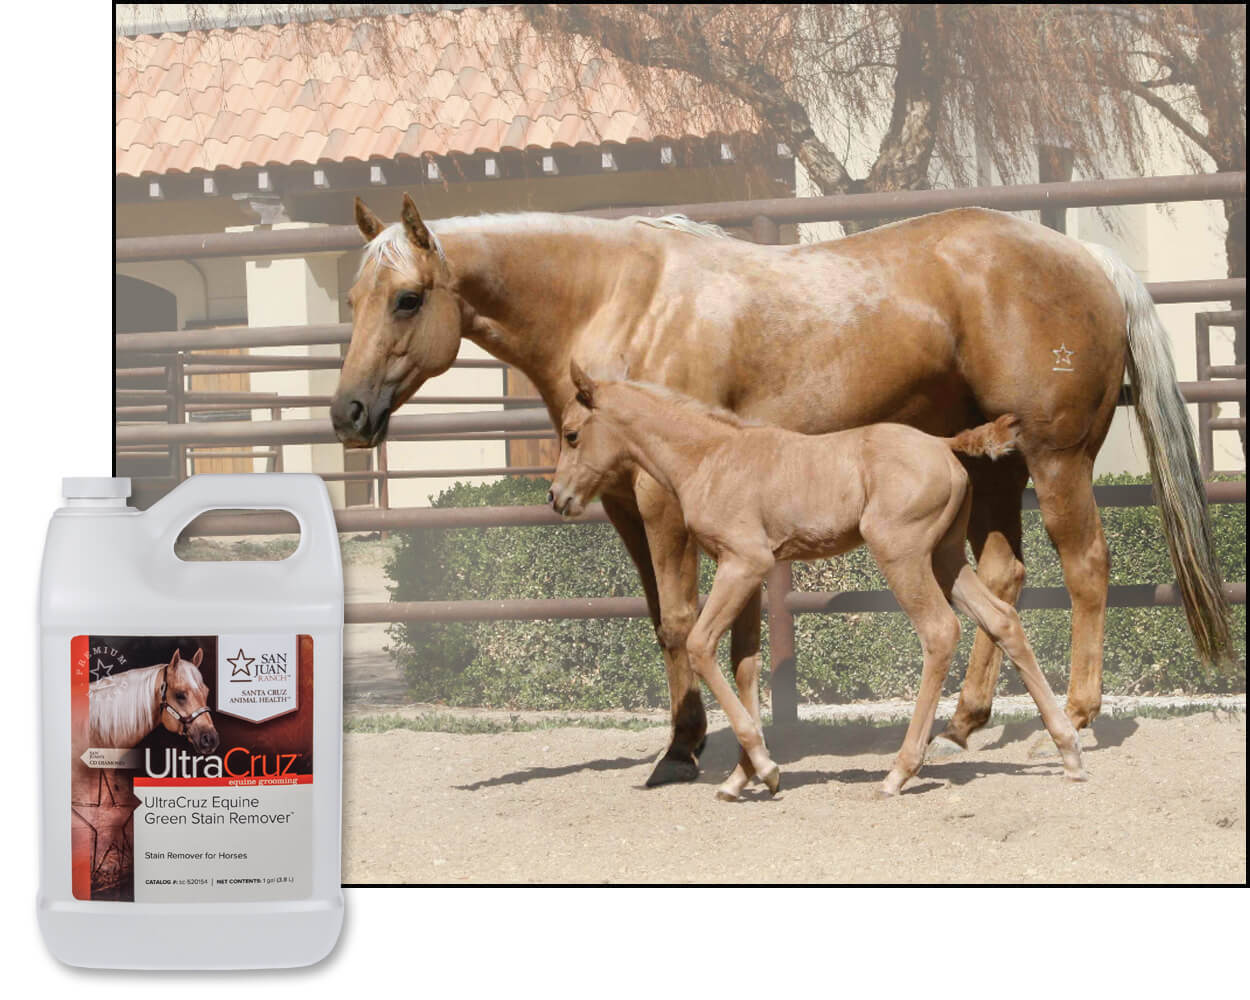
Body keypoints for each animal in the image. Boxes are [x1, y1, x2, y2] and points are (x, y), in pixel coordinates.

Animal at [550, 363, 1086, 798]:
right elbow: (745, 664)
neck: (710, 457)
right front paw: (742, 777)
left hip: (903, 555)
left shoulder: (743, 563)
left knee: (939, 631)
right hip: (945, 557)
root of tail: (942, 443)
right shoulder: (747, 570)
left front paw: (765, 768)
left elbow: (701, 646)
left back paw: (900, 771)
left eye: (572, 434)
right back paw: (1068, 751)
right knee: (1002, 619)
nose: (557, 497)